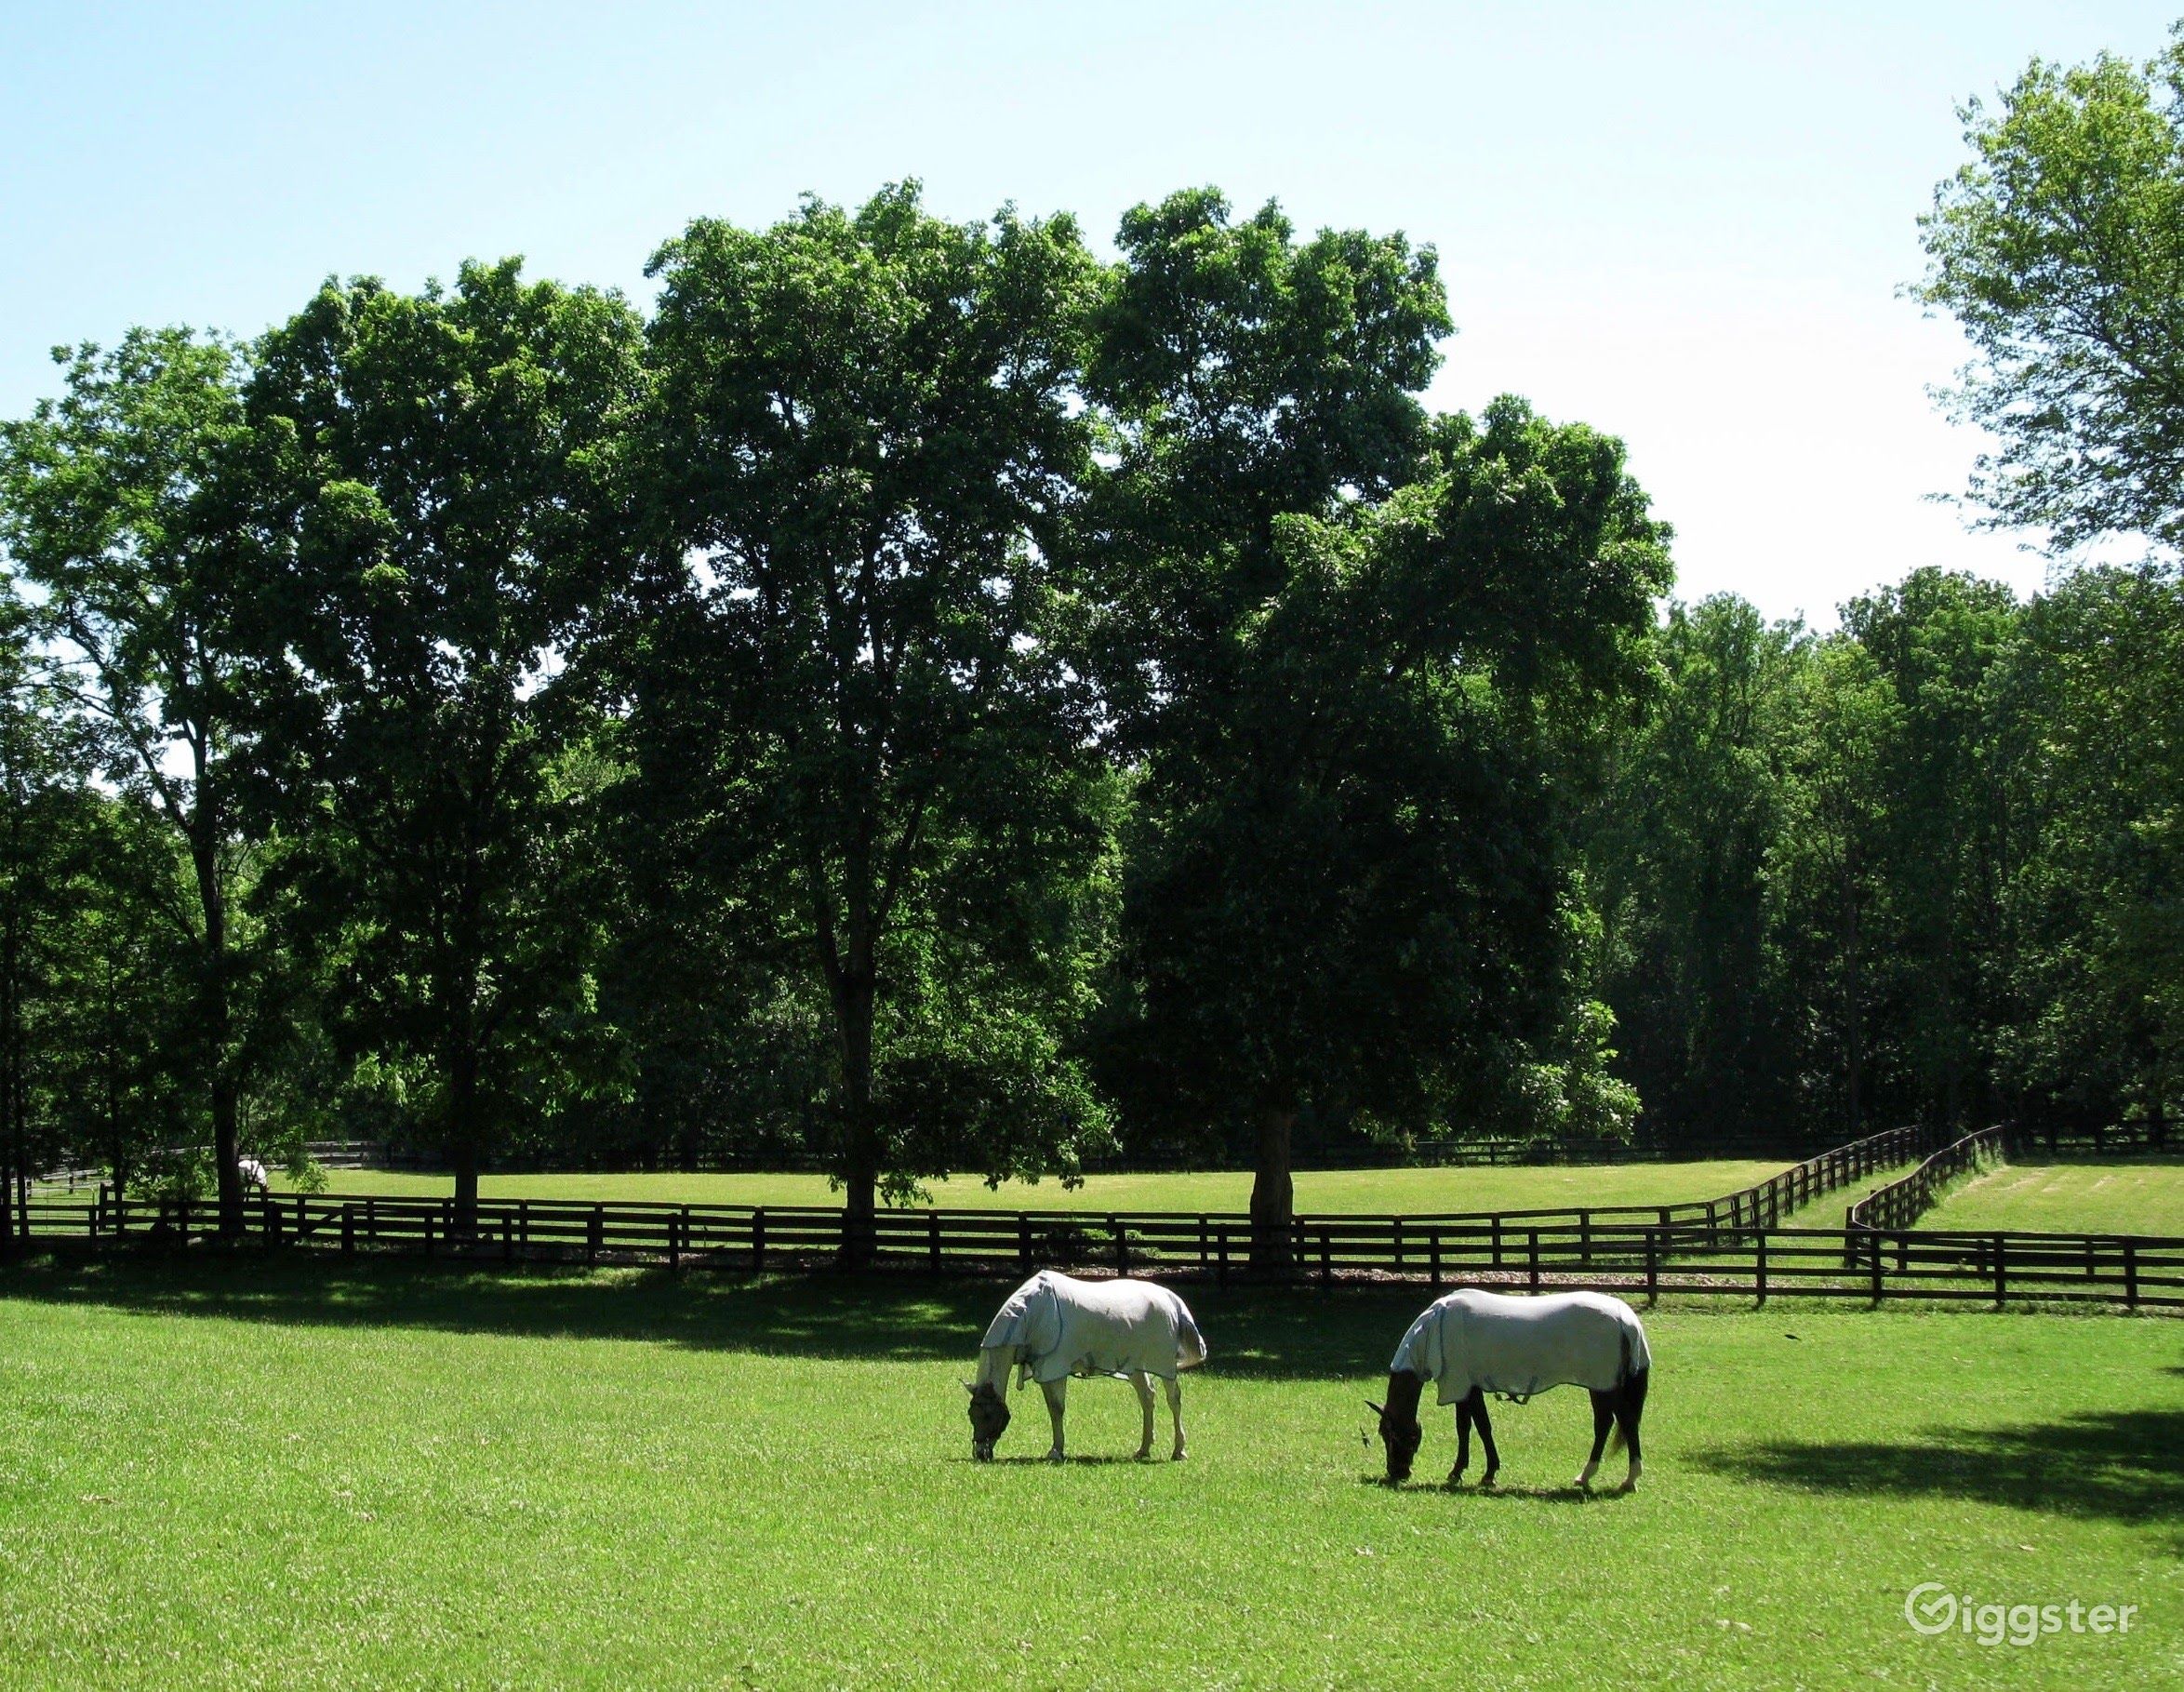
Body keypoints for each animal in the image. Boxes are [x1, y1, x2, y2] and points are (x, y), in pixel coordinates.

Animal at [965, 1270, 1207, 1463]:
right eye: (971, 1414)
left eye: (988, 1415)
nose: (980, 1453)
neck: (1031, 1314)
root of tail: (1171, 1299)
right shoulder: (1044, 1370)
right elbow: (1052, 1409)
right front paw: (1057, 1448)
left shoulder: (1055, 1368)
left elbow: (1057, 1409)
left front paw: (1056, 1451)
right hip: (1136, 1366)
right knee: (1147, 1397)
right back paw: (1143, 1449)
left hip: (1164, 1366)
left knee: (1173, 1400)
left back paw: (1179, 1451)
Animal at [1370, 1288, 1650, 1491]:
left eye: (1390, 1435)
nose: (1396, 1472)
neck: (1435, 1326)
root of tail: (1625, 1319)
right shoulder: (1469, 1387)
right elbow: (1469, 1426)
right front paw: (1467, 1471)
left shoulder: (1464, 1386)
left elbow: (1477, 1427)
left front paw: (1480, 1473)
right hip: (1601, 1387)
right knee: (1607, 1423)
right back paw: (1589, 1476)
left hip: (1604, 1387)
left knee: (1622, 1421)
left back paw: (1626, 1478)